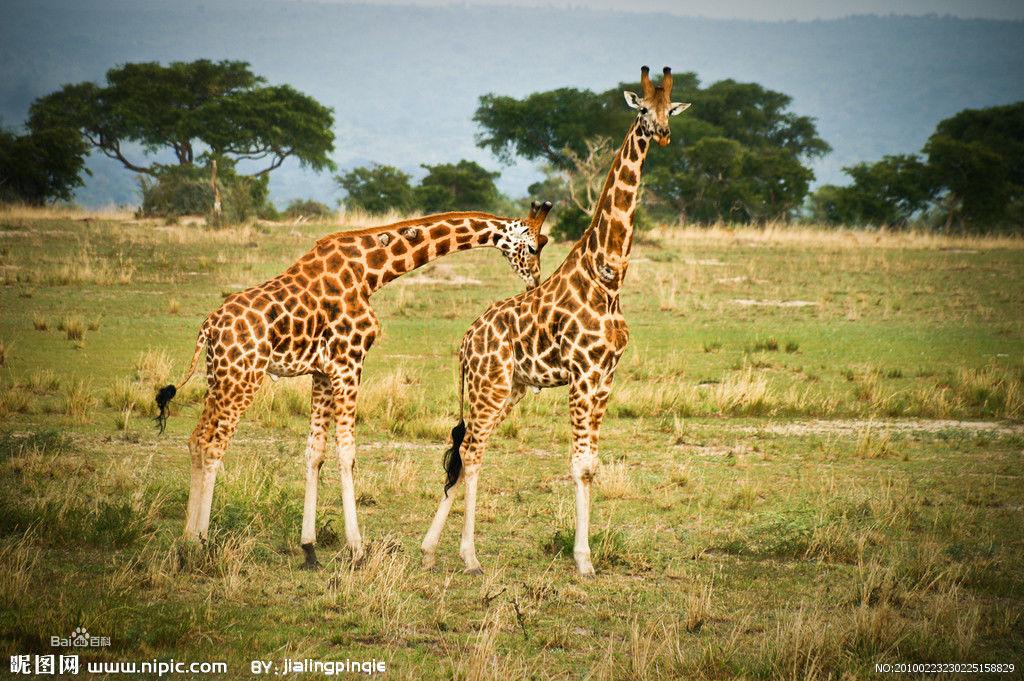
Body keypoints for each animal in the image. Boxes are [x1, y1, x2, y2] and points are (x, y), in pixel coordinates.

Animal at [155, 202, 552, 569]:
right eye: (534, 246)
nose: (535, 283)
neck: (370, 271)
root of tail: (208, 328)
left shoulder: (321, 372)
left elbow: (314, 452)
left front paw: (310, 549)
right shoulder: (349, 361)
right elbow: (347, 452)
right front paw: (358, 550)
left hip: (219, 376)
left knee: (196, 440)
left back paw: (186, 541)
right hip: (242, 377)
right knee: (213, 445)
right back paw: (199, 542)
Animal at [419, 65, 692, 573]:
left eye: (671, 109)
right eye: (643, 109)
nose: (663, 134)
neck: (608, 277)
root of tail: (465, 342)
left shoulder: (605, 377)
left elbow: (591, 465)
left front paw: (586, 558)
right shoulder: (583, 373)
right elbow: (579, 465)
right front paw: (583, 560)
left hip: (510, 389)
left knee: (465, 452)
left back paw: (429, 550)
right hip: (490, 386)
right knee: (472, 450)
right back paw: (469, 556)